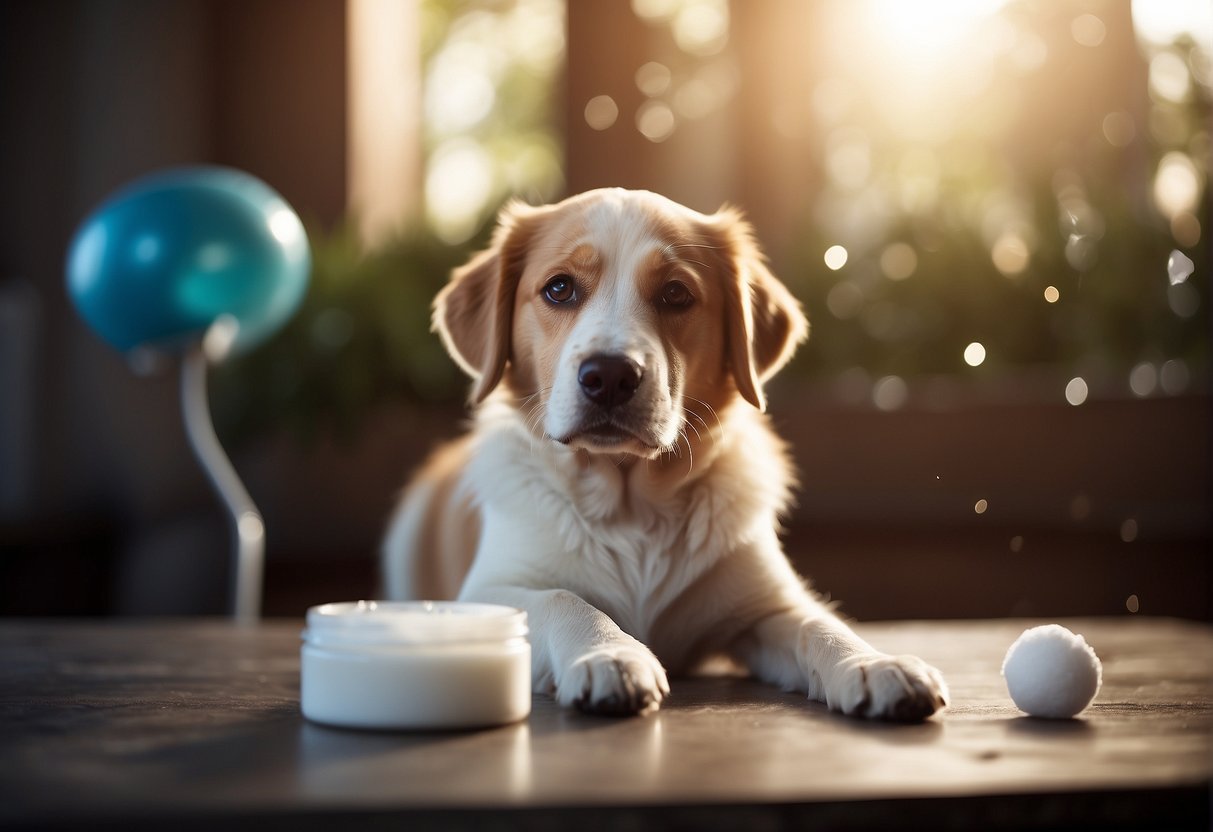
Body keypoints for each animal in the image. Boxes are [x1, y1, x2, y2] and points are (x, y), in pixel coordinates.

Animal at [383, 189, 950, 722]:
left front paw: (875, 663)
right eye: (559, 288)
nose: (610, 375)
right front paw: (611, 655)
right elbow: (565, 599)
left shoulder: (767, 604)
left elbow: (819, 623)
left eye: (675, 293)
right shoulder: (493, 589)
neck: (632, 505)